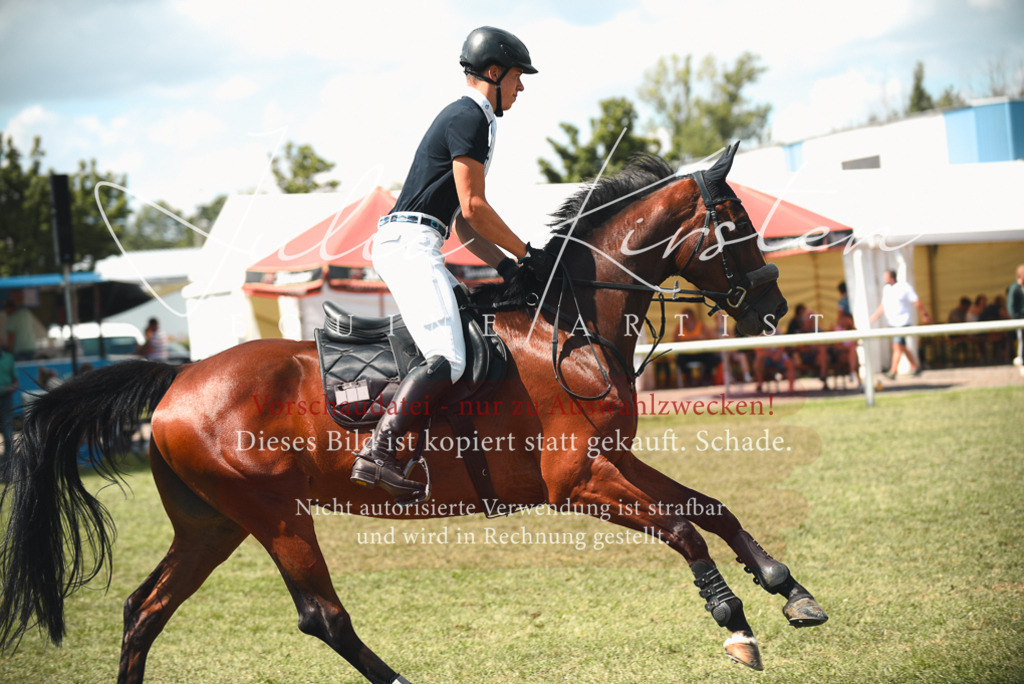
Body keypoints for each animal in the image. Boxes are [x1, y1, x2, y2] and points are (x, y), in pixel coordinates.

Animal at [0, 146, 826, 683]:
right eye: (737, 225)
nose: (774, 308)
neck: (569, 326)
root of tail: (178, 378)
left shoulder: (612, 460)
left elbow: (711, 507)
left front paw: (788, 588)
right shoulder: (577, 481)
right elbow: (684, 528)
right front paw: (735, 624)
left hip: (212, 524)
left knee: (144, 610)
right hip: (274, 514)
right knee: (321, 616)